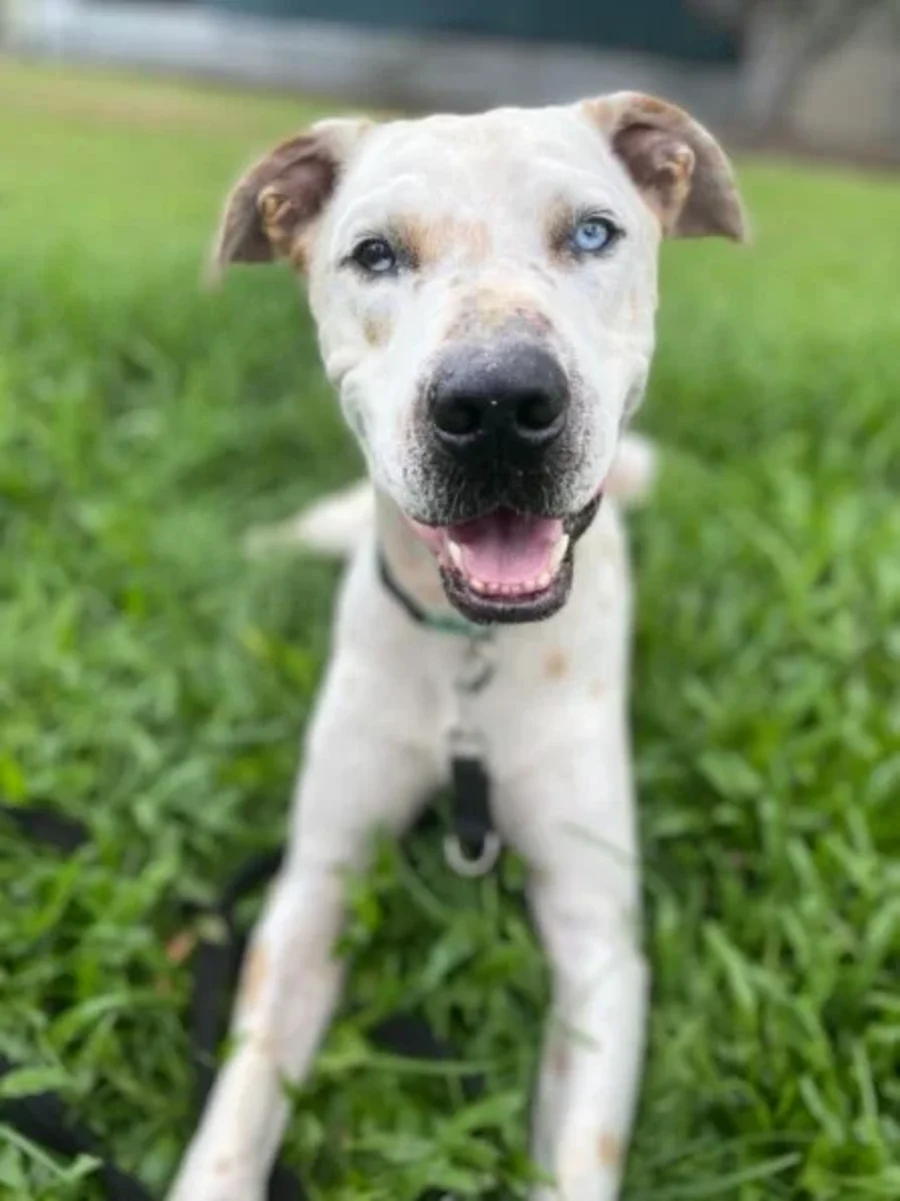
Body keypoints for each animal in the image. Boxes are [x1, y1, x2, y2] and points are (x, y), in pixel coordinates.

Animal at [168, 92, 746, 1201]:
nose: (498, 406)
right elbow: (241, 1099)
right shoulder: (314, 887)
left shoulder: (598, 936)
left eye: (594, 233)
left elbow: (578, 1153)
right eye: (375, 253)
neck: (473, 657)